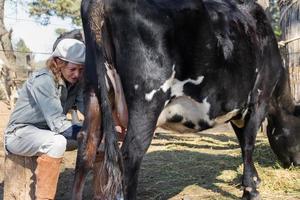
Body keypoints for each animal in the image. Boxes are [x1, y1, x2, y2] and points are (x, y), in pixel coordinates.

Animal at [74, 0, 300, 199]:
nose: (296, 164)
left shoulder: (237, 109)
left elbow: (242, 141)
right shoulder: (259, 100)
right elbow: (248, 144)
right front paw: (250, 189)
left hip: (93, 93)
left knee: (86, 148)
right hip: (147, 102)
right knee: (130, 155)